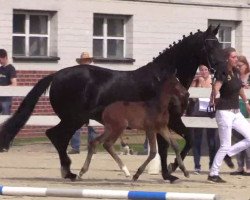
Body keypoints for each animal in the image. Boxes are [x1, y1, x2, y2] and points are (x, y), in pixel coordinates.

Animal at [0, 24, 228, 181]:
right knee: (56, 136)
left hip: (74, 119)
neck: (163, 78)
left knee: (59, 137)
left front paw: (167, 174)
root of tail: (57, 75)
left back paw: (70, 171)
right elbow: (184, 141)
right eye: (209, 46)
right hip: (75, 118)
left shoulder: (163, 123)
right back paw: (70, 171)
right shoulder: (171, 120)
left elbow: (167, 146)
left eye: (220, 45)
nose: (225, 72)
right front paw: (172, 169)